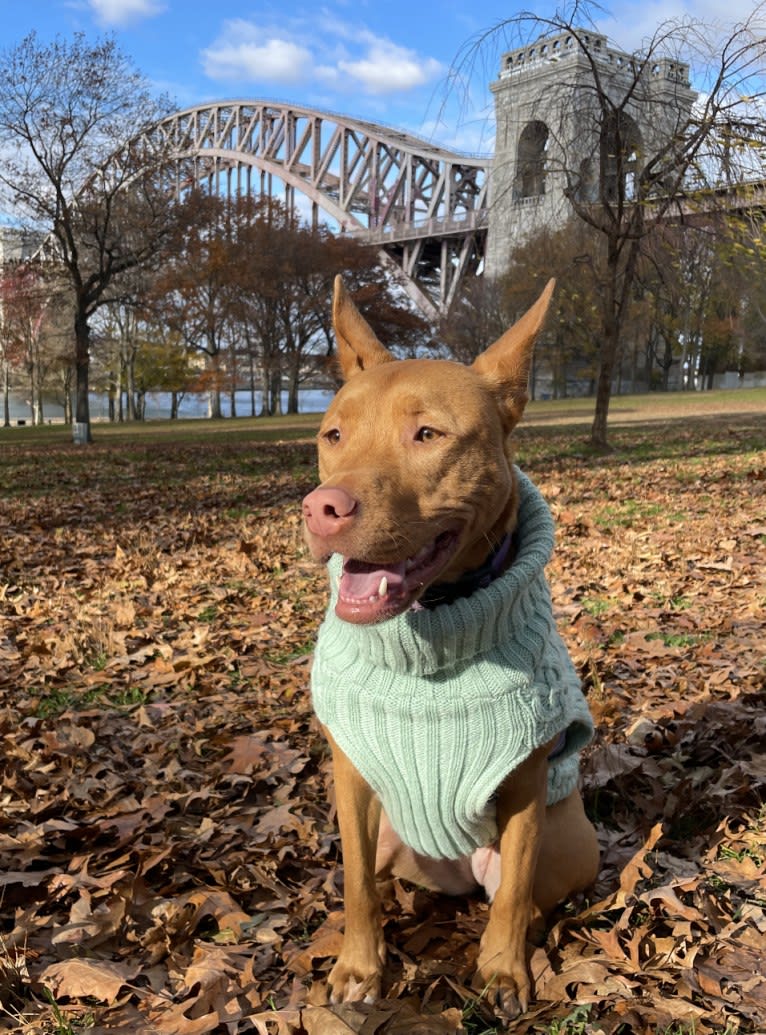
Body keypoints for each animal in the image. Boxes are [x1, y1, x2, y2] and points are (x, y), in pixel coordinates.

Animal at [302, 277, 600, 1018]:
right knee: (382, 877)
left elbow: (514, 893)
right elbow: (356, 884)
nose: (322, 508)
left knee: (523, 897)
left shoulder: (524, 780)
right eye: (333, 435)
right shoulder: (350, 775)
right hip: (390, 834)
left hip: (568, 843)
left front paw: (502, 974)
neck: (432, 627)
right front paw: (360, 965)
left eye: (428, 434)